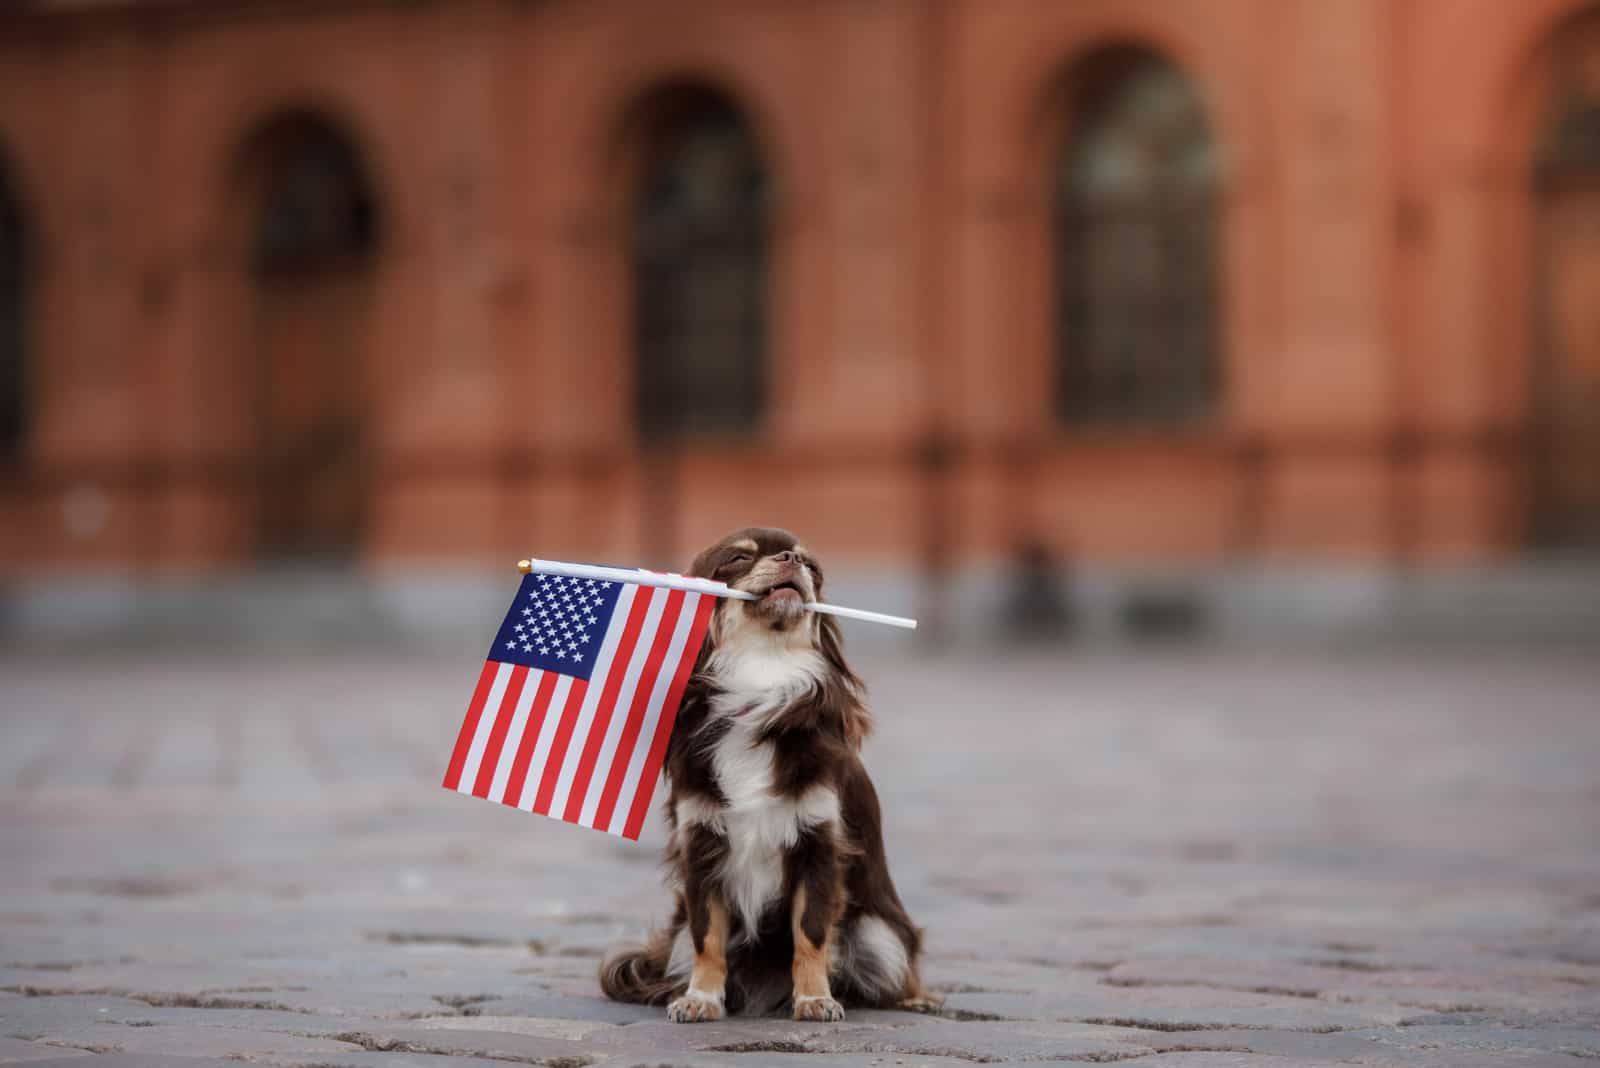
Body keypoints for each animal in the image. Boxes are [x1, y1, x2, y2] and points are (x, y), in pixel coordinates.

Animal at [598, 530, 934, 1023]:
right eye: (739, 557)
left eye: (812, 568)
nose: (791, 558)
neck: (761, 674)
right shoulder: (703, 847)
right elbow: (707, 935)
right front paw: (701, 998)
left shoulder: (817, 847)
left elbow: (811, 933)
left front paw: (815, 999)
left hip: (879, 933)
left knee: (893, 964)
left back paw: (916, 997)